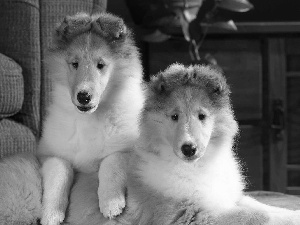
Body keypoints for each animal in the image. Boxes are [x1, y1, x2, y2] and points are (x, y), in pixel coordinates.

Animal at [37, 12, 144, 225]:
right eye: (74, 64)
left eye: (100, 65)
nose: (84, 96)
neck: (89, 119)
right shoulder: (50, 154)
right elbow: (60, 173)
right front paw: (51, 214)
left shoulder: (129, 149)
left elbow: (111, 162)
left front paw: (111, 203)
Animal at [98, 63, 300, 225]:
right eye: (174, 116)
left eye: (202, 116)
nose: (188, 149)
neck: (198, 166)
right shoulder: (188, 214)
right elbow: (259, 216)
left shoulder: (229, 198)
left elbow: (264, 207)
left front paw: (294, 214)